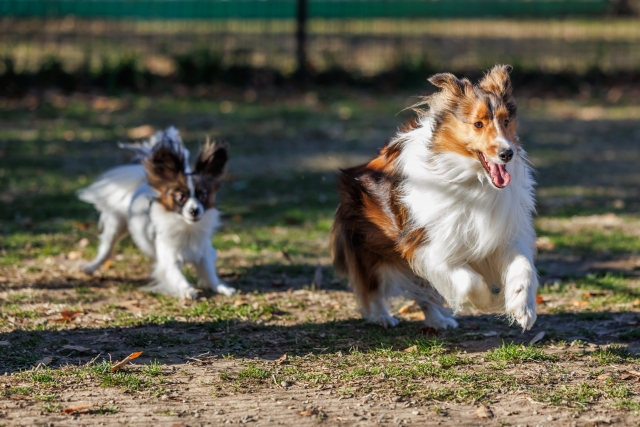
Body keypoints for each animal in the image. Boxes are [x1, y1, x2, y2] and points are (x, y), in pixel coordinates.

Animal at [77, 127, 236, 300]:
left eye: (203, 195)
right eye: (181, 196)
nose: (194, 210)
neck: (186, 229)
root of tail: (143, 181)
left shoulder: (203, 253)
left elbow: (210, 274)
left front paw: (222, 287)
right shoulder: (169, 259)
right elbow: (177, 276)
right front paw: (187, 290)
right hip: (116, 225)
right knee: (106, 249)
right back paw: (91, 267)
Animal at [332, 64, 536, 332]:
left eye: (505, 121)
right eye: (478, 124)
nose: (507, 153)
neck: (472, 178)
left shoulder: (500, 234)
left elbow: (523, 266)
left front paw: (523, 308)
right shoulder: (428, 247)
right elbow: (469, 282)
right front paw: (487, 301)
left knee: (423, 292)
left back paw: (438, 320)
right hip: (369, 247)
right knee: (373, 289)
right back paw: (381, 317)